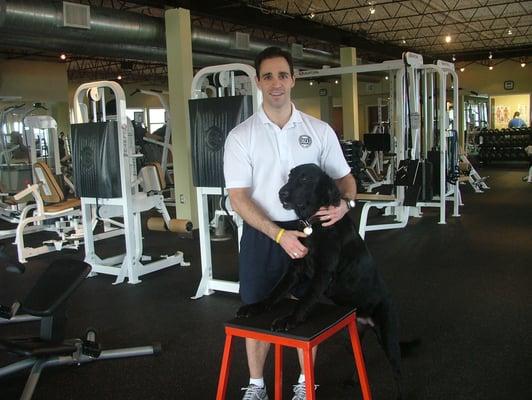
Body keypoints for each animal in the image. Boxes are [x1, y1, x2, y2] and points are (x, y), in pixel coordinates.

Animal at [237, 164, 404, 398]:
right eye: (290, 176)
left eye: (306, 179)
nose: (282, 193)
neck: (313, 224)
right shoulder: (295, 268)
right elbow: (275, 291)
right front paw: (256, 307)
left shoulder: (323, 273)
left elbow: (305, 300)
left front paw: (290, 319)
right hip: (353, 337)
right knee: (359, 357)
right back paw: (352, 380)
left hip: (388, 336)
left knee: (397, 371)